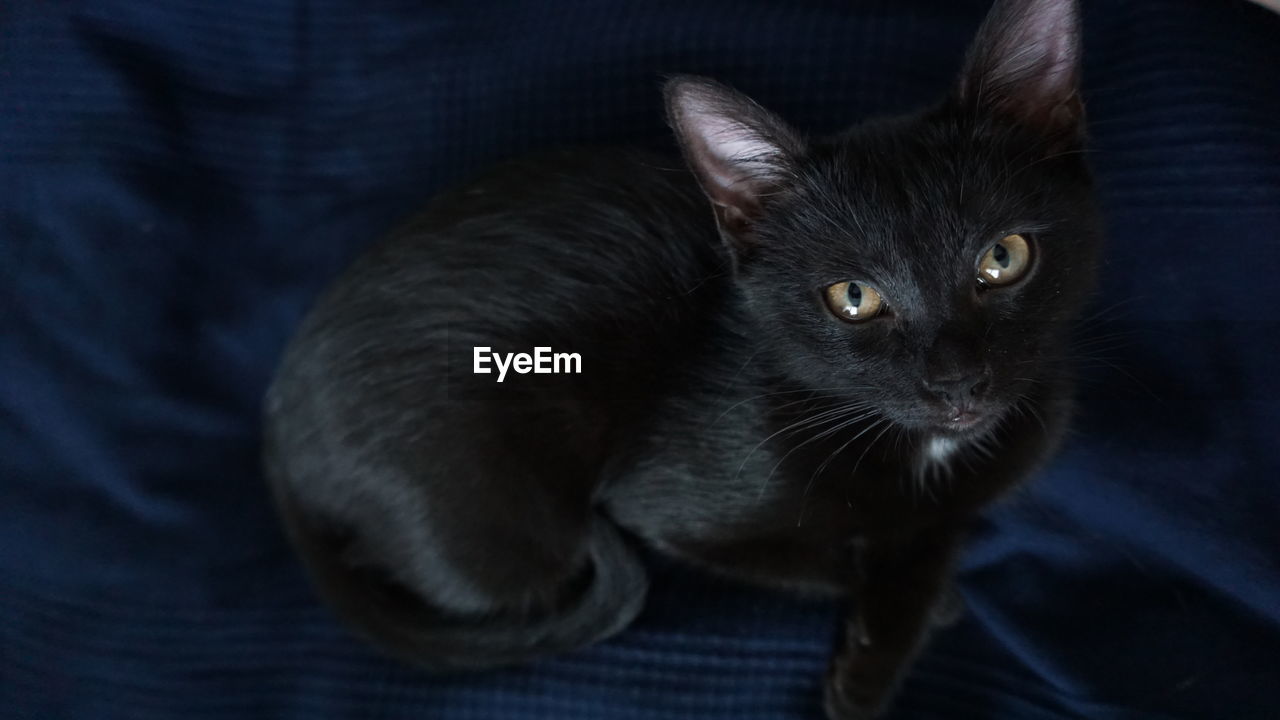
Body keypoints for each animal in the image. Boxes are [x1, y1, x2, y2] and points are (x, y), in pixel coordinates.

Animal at [262, 1, 1100, 712]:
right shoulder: (662, 505)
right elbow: (819, 557)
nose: (956, 383)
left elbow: (935, 532)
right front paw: (890, 635)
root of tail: (278, 423)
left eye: (1003, 257)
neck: (925, 451)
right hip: (504, 531)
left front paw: (896, 625)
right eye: (854, 297)